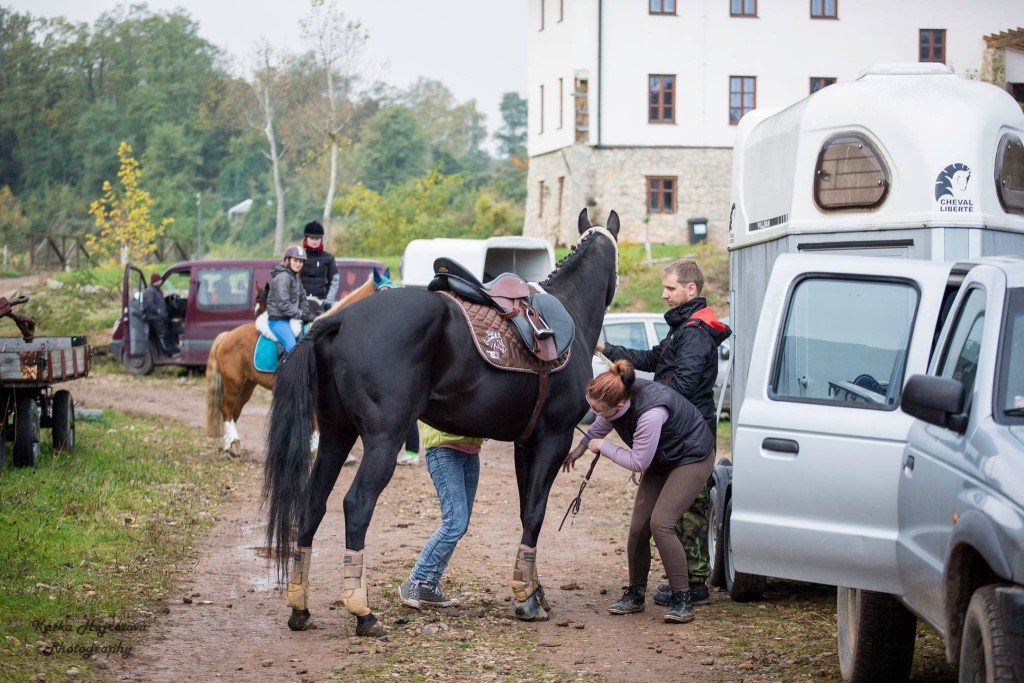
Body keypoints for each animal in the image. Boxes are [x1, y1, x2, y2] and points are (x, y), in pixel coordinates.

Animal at [203, 266, 391, 454]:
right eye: (383, 292)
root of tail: (227, 335)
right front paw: (315, 448)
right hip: (234, 382)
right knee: (226, 408)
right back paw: (232, 443)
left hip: (248, 384)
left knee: (235, 410)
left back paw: (230, 444)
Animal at [260, 208, 618, 634]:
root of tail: (341, 321)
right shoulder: (554, 439)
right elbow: (535, 513)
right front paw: (528, 598)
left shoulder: (526, 445)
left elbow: (525, 512)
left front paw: (534, 588)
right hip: (384, 440)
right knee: (357, 504)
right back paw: (363, 612)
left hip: (336, 434)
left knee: (313, 503)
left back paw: (300, 606)